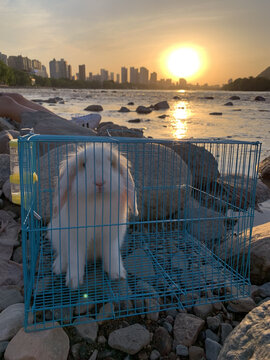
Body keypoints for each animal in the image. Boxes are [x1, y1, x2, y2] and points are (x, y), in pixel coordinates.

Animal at [46, 142, 138, 288]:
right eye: (83, 164)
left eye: (111, 163)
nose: (99, 182)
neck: (97, 201)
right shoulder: (75, 238)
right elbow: (75, 259)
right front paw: (73, 282)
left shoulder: (111, 238)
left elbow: (113, 255)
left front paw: (117, 275)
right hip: (55, 235)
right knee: (63, 254)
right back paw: (58, 267)